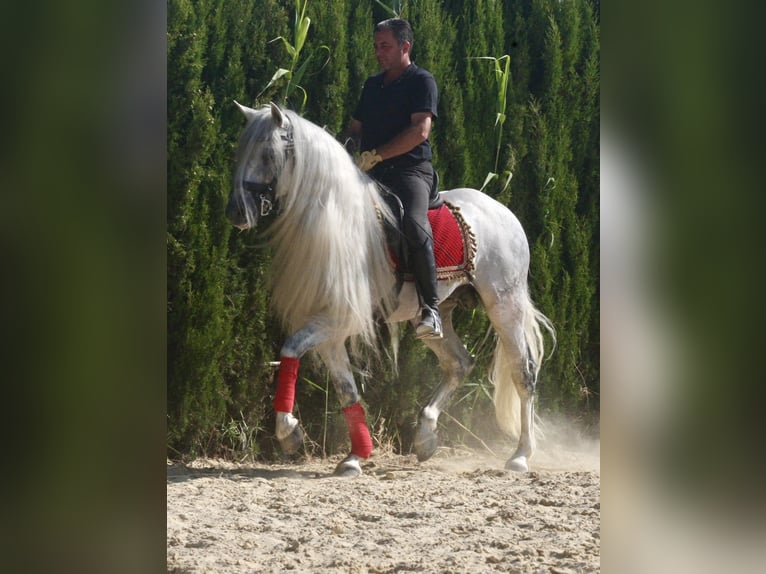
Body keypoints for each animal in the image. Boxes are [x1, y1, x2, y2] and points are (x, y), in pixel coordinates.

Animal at [226, 102, 554, 477]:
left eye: (268, 153)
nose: (236, 212)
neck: (334, 224)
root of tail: (501, 211)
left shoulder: (341, 320)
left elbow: (290, 348)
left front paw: (289, 434)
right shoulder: (329, 327)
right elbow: (345, 389)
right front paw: (354, 456)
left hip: (504, 306)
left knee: (523, 372)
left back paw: (520, 455)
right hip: (439, 316)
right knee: (459, 363)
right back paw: (425, 436)